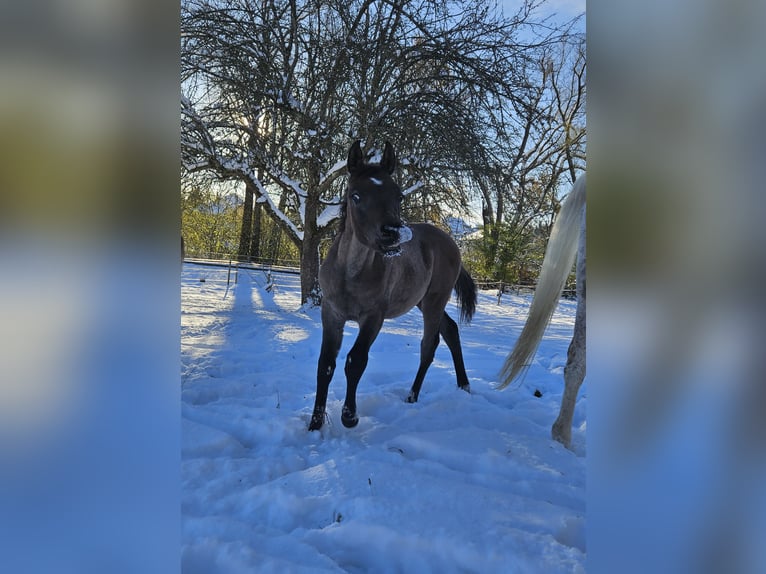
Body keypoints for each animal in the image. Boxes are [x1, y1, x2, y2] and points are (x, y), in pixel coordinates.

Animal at [308, 142, 476, 434]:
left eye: (398, 196)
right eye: (356, 196)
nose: (393, 233)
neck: (350, 274)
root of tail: (450, 242)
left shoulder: (373, 318)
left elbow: (356, 361)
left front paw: (349, 417)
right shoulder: (331, 314)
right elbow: (325, 364)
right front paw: (315, 424)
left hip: (434, 301)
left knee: (429, 344)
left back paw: (413, 395)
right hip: (423, 300)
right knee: (450, 331)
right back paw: (463, 385)